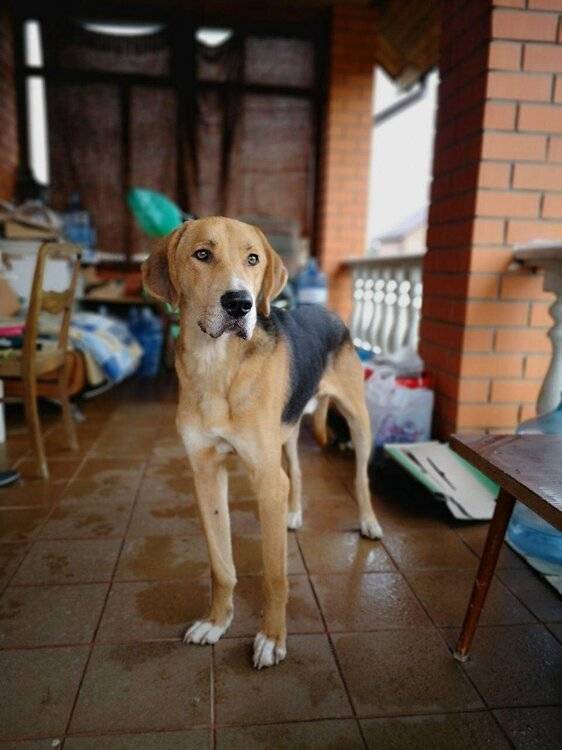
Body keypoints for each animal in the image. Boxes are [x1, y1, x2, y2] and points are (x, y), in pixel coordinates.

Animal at [142, 216, 382, 668]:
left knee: (361, 477)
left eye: (253, 259)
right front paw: (217, 622)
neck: (217, 366)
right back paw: (294, 513)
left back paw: (369, 522)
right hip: (285, 435)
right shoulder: (206, 473)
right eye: (202, 254)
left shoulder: (266, 480)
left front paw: (272, 638)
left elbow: (275, 575)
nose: (240, 304)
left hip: (358, 420)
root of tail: (327, 311)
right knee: (298, 473)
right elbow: (221, 566)